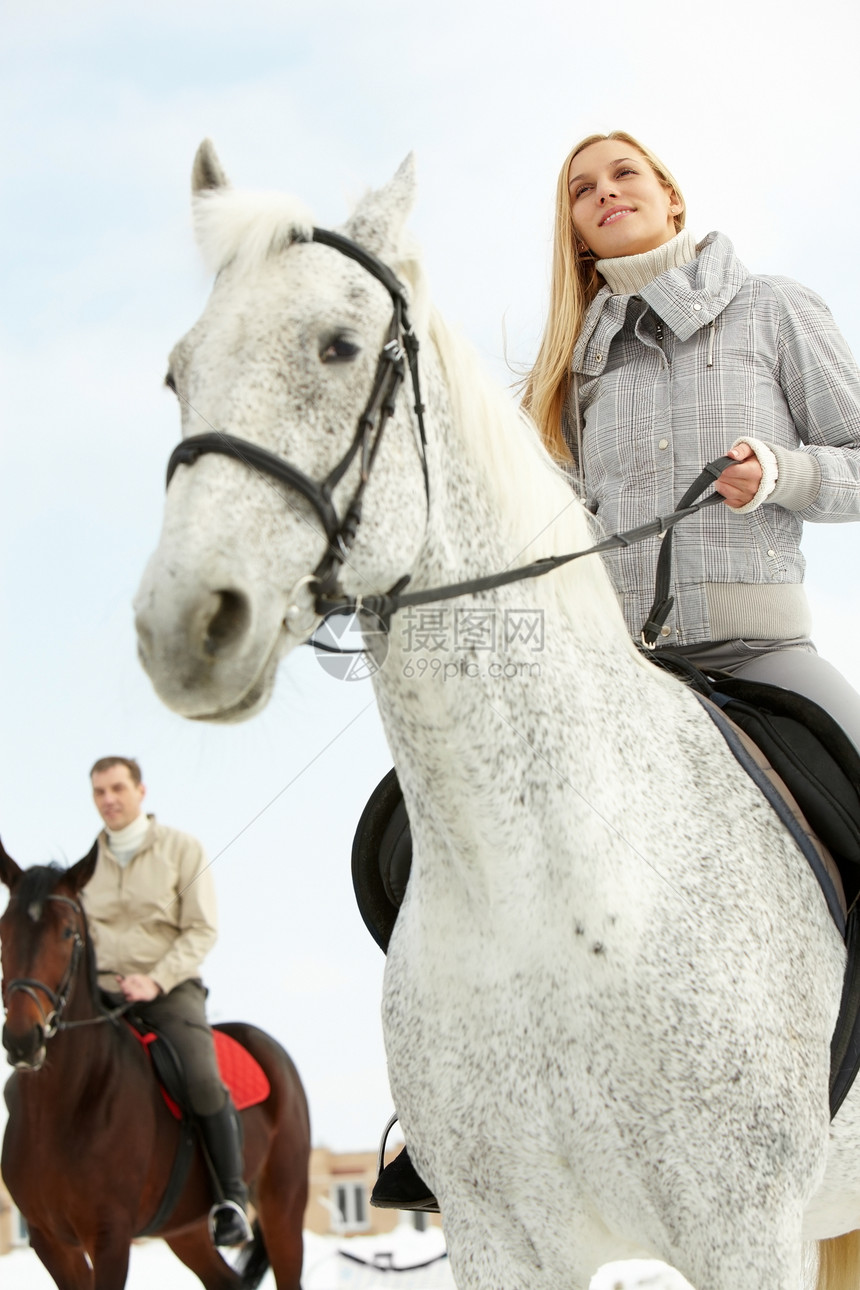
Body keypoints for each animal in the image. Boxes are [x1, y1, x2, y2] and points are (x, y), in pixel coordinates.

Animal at [0, 841, 309, 1284]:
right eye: (4, 930)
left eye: (68, 932)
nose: (23, 1040)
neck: (63, 1105)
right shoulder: (50, 1242)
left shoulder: (110, 1236)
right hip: (186, 1231)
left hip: (283, 1206)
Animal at [136, 141, 860, 1290]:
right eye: (179, 371)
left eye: (339, 347)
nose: (184, 623)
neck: (553, 885)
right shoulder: (500, 1240)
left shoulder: (746, 1235)